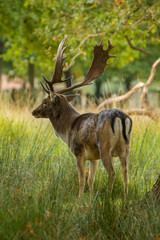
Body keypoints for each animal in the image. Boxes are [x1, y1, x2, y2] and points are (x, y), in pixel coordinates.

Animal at [31, 36, 132, 200]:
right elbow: (91, 179)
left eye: (45, 101)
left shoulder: (78, 152)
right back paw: (126, 199)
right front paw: (90, 199)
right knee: (126, 174)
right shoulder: (93, 157)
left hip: (104, 147)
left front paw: (79, 199)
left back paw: (108, 198)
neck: (67, 129)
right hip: (126, 147)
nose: (34, 111)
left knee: (112, 173)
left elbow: (81, 179)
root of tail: (120, 117)